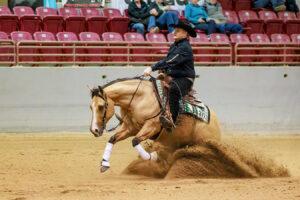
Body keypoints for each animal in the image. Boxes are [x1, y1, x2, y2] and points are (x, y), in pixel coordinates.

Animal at [88, 76, 221, 173]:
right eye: (90, 107)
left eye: (100, 107)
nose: (94, 130)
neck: (139, 98)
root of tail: (214, 120)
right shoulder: (130, 128)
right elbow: (112, 139)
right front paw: (104, 163)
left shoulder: (152, 126)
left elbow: (135, 141)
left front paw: (154, 156)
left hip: (204, 142)